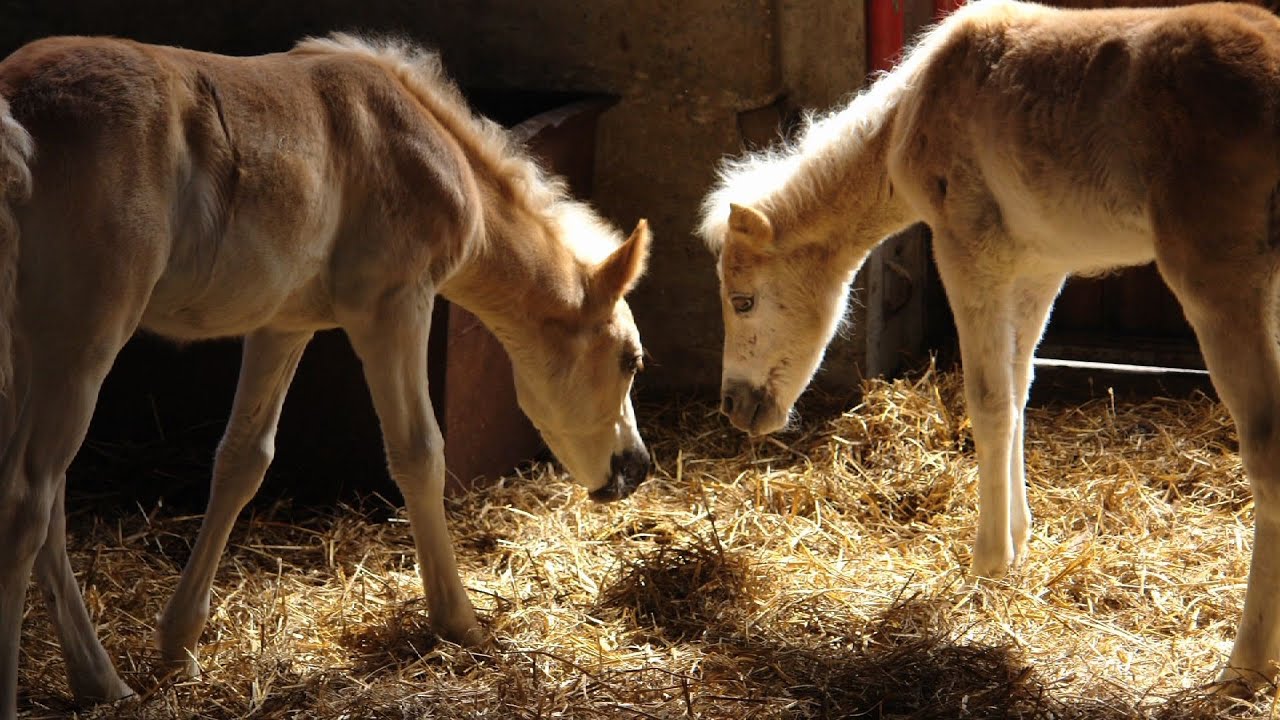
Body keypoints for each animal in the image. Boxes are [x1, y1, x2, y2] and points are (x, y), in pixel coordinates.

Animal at [0, 32, 653, 717]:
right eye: (630, 360)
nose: (635, 468)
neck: (423, 148)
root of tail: (16, 110)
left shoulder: (282, 324)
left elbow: (243, 460)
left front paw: (178, 645)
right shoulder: (395, 304)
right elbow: (420, 453)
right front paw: (459, 623)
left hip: (29, 347)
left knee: (50, 503)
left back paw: (101, 681)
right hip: (82, 335)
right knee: (24, 501)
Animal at [700, 0, 1280, 692]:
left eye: (743, 302)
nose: (735, 406)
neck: (911, 110)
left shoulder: (966, 250)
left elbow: (987, 401)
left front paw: (988, 561)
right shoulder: (1037, 266)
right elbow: (1019, 389)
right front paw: (1020, 541)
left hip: (1221, 281)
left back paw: (1246, 664)